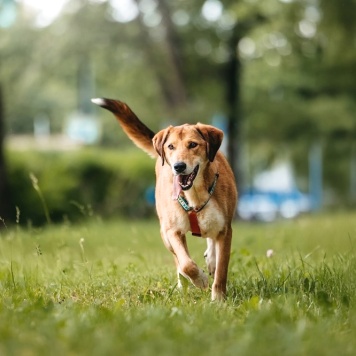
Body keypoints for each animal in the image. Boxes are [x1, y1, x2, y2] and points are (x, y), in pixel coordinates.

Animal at [92, 98, 238, 300]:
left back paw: (211, 260)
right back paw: (185, 283)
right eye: (171, 147)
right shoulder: (173, 231)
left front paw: (218, 299)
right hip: (165, 233)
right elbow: (186, 264)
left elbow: (221, 271)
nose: (178, 166)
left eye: (193, 145)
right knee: (179, 260)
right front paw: (200, 279)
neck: (194, 195)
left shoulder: (225, 230)